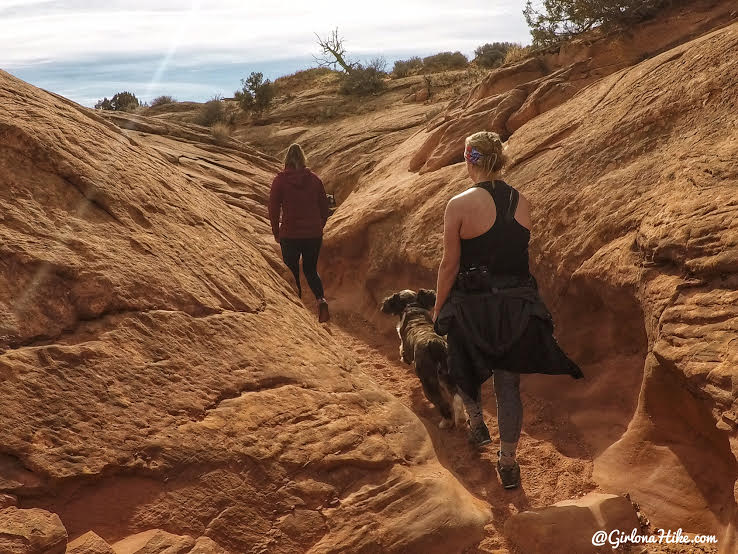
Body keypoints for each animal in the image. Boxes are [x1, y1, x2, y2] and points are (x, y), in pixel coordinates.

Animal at [382, 288, 462, 426]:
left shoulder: (406, 349)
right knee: (457, 398)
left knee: (442, 402)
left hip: (429, 382)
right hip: (448, 376)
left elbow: (403, 351)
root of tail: (435, 343)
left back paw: (445, 422)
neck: (413, 309)